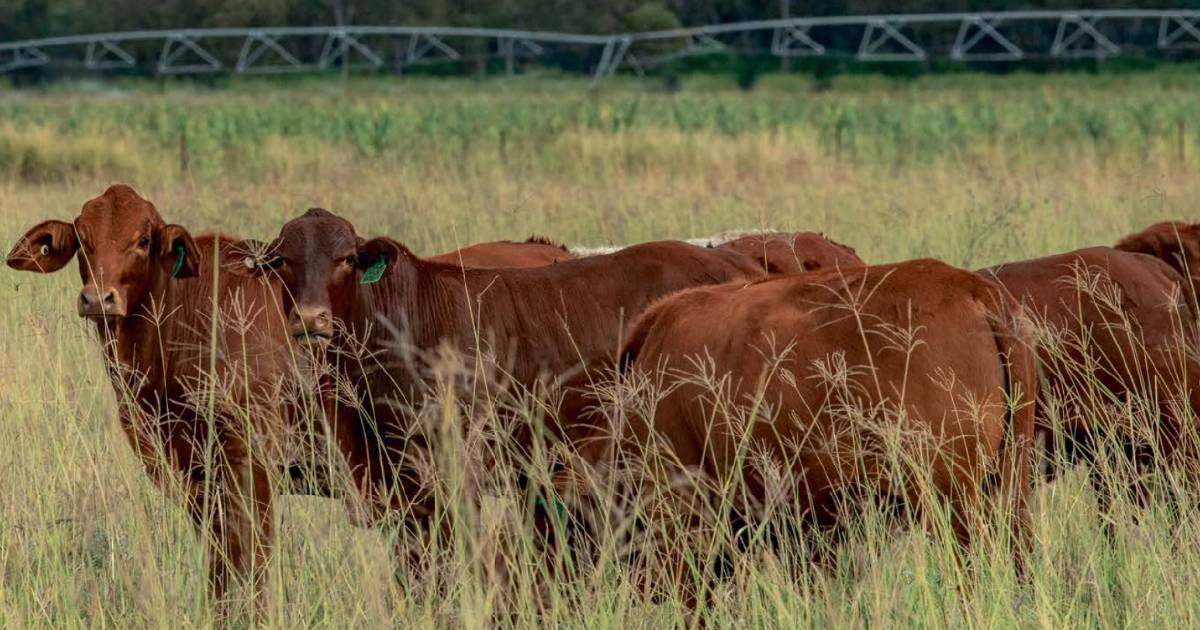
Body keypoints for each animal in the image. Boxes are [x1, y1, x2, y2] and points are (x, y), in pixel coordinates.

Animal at [4, 184, 314, 614]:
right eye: (83, 238)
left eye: (143, 241)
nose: (97, 299)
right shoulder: (194, 475)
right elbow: (219, 567)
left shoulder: (255, 465)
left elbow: (254, 561)